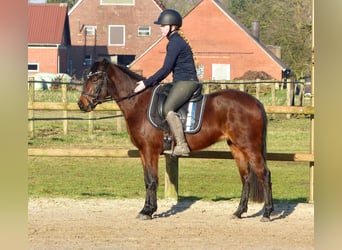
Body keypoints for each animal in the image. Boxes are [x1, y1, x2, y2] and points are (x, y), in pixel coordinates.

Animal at [78, 59, 276, 223]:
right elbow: (147, 180)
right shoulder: (143, 151)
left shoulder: (150, 151)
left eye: (95, 79)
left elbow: (152, 180)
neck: (139, 103)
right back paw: (239, 212)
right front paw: (146, 209)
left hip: (250, 147)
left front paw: (148, 211)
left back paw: (267, 213)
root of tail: (255, 102)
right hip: (236, 147)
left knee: (264, 175)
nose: (81, 104)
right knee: (246, 178)